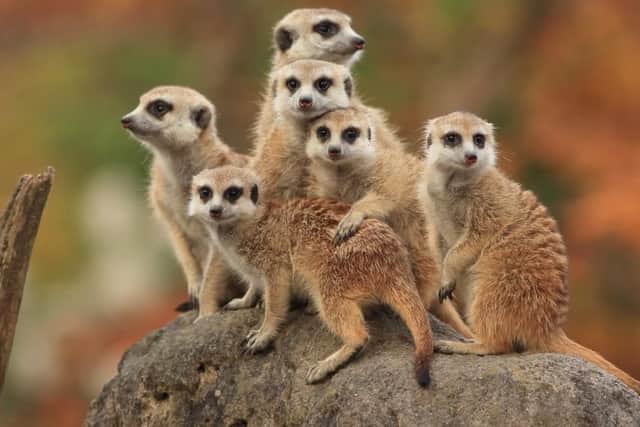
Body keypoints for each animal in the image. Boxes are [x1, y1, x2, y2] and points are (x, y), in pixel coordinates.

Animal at [121, 86, 248, 317]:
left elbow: (218, 261)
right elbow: (177, 236)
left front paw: (206, 311)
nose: (125, 119)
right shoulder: (161, 198)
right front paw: (195, 285)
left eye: (159, 107)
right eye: (139, 102)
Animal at [187, 165, 433, 387]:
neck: (245, 226)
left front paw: (264, 332)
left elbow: (277, 292)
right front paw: (244, 300)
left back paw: (333, 357)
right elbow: (255, 283)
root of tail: (396, 263)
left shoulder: (273, 256)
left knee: (341, 314)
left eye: (232, 192)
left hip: (338, 271)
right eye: (205, 192)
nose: (215, 210)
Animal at [304, 108, 473, 339]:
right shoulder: (327, 190)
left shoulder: (386, 171)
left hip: (421, 236)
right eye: (323, 132)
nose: (334, 150)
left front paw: (353, 215)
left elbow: (386, 195)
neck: (344, 174)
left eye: (350, 133)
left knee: (422, 261)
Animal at [419, 111, 640, 394]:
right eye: (452, 138)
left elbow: (477, 238)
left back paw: (470, 344)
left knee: (496, 330)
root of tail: (550, 328)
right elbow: (435, 239)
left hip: (504, 282)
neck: (452, 184)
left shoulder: (489, 201)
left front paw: (448, 272)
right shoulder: (429, 205)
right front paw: (442, 275)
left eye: (479, 139)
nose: (471, 156)